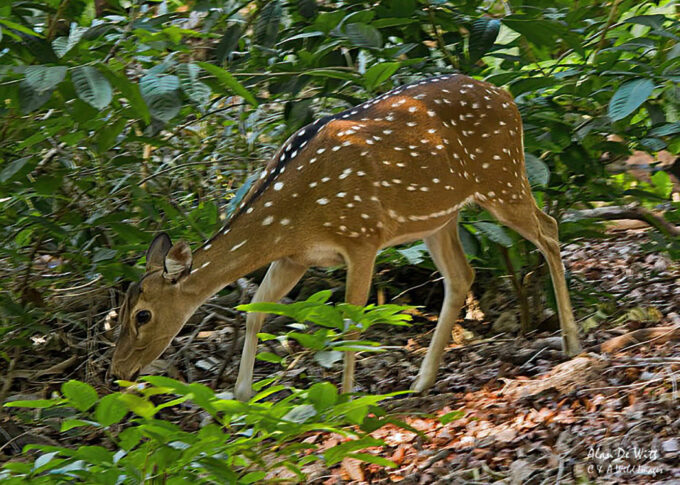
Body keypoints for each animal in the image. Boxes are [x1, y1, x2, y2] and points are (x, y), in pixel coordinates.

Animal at [111, 74, 582, 401]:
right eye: (123, 312)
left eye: (143, 316)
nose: (117, 370)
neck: (290, 218)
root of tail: (507, 96)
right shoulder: (295, 257)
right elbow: (255, 311)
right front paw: (241, 396)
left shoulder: (363, 236)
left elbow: (352, 320)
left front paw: (344, 398)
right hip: (439, 217)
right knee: (461, 275)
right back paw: (421, 381)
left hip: (502, 178)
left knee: (549, 229)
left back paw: (572, 343)